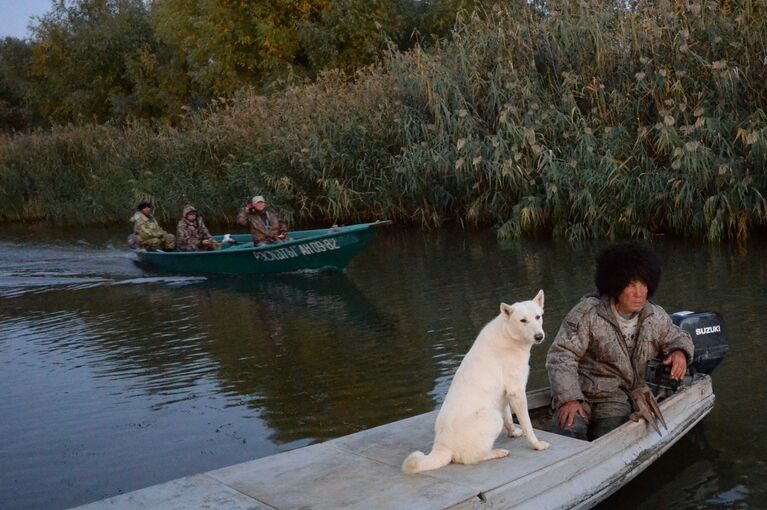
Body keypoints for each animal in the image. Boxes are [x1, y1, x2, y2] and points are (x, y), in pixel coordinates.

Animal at [404, 290, 548, 474]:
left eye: (538, 317)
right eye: (523, 320)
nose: (539, 336)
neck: (508, 334)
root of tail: (442, 446)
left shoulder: (505, 395)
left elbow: (509, 418)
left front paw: (513, 433)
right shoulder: (517, 392)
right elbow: (527, 425)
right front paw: (537, 445)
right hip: (492, 416)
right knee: (469, 459)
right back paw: (496, 452)